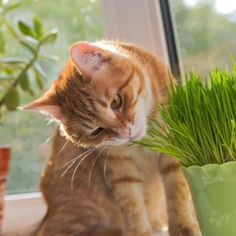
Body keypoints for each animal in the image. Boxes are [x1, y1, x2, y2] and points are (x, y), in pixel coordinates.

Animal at [23, 41, 200, 236]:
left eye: (116, 101)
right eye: (96, 131)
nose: (125, 132)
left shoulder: (174, 151)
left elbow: (178, 192)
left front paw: (183, 226)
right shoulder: (119, 168)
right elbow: (132, 204)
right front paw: (139, 232)